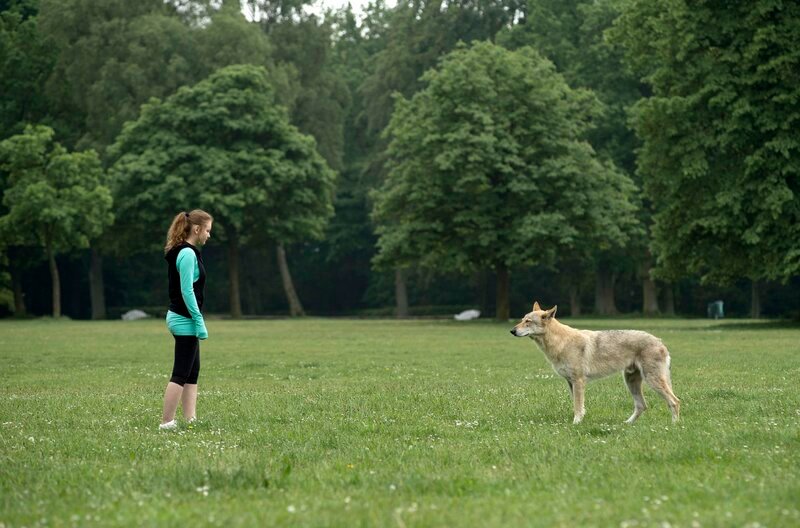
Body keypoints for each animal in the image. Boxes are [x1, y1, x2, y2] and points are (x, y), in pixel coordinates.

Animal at [512, 302, 680, 424]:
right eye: (522, 320)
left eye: (528, 322)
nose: (512, 331)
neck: (561, 343)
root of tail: (660, 341)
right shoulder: (571, 382)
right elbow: (578, 406)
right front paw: (579, 421)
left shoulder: (578, 381)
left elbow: (577, 406)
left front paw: (575, 424)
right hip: (631, 382)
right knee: (642, 406)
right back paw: (626, 424)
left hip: (651, 381)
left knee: (675, 401)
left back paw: (674, 426)